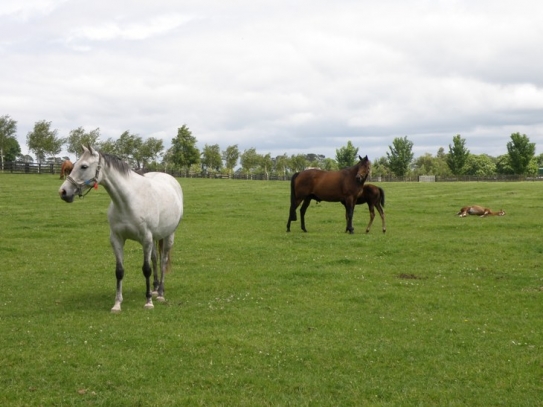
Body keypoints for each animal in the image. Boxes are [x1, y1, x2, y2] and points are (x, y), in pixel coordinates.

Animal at [58, 146, 184, 312]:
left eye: (84, 166)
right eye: (74, 165)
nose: (63, 192)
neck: (129, 200)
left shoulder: (146, 239)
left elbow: (146, 269)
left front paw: (148, 301)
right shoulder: (117, 239)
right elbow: (119, 271)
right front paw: (117, 303)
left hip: (169, 235)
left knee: (163, 260)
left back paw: (161, 293)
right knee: (155, 259)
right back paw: (155, 288)